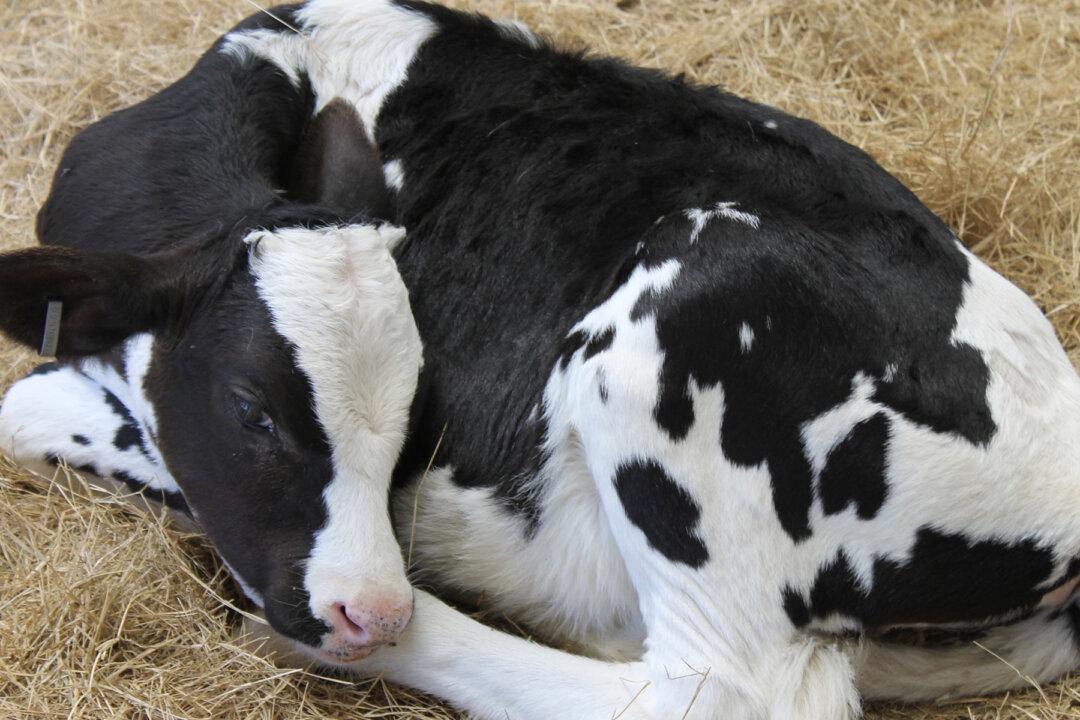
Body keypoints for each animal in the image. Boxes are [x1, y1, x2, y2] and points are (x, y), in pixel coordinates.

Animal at [2, 2, 1080, 719]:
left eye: (417, 420)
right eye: (252, 410)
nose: (370, 611)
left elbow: (34, 407)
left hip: (681, 325)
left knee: (720, 692)